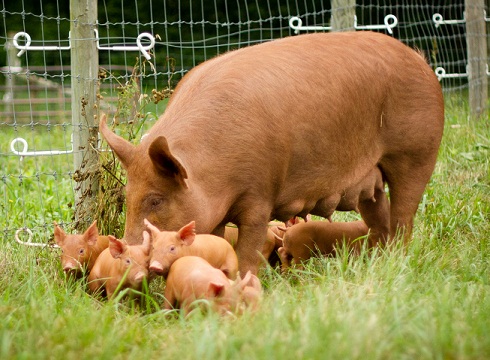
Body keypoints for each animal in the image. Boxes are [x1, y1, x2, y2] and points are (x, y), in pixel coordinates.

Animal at [99, 31, 444, 276]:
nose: (125, 253)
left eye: (156, 200)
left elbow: (248, 247)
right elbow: (217, 243)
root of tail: (420, 60)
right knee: (379, 215)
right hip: (371, 177)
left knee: (404, 215)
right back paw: (376, 264)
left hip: (416, 153)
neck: (211, 172)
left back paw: (397, 261)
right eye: (127, 197)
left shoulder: (260, 193)